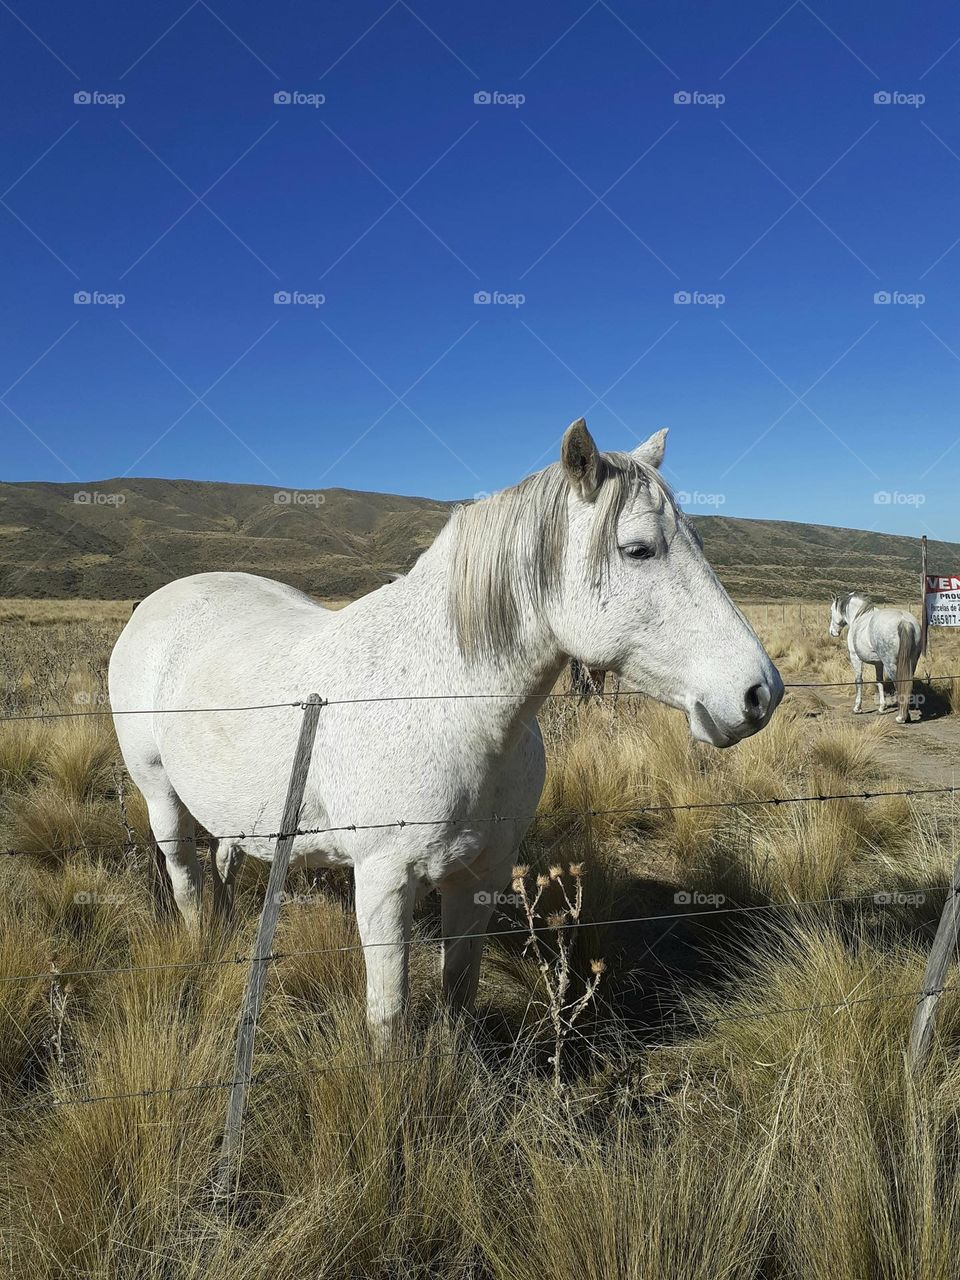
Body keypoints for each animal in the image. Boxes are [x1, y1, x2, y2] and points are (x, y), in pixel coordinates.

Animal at [112, 422, 783, 1039]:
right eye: (638, 549)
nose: (760, 694)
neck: (450, 708)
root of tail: (160, 601)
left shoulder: (481, 875)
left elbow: (460, 984)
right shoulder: (384, 881)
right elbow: (389, 1013)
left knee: (225, 856)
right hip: (159, 789)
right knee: (184, 872)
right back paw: (202, 941)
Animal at [829, 588, 921, 721]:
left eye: (831, 610)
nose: (832, 632)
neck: (859, 616)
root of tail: (903, 621)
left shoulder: (855, 658)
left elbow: (858, 680)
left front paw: (857, 708)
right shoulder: (878, 663)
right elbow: (879, 681)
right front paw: (882, 708)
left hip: (891, 665)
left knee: (900, 684)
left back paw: (901, 717)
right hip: (911, 663)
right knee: (907, 684)